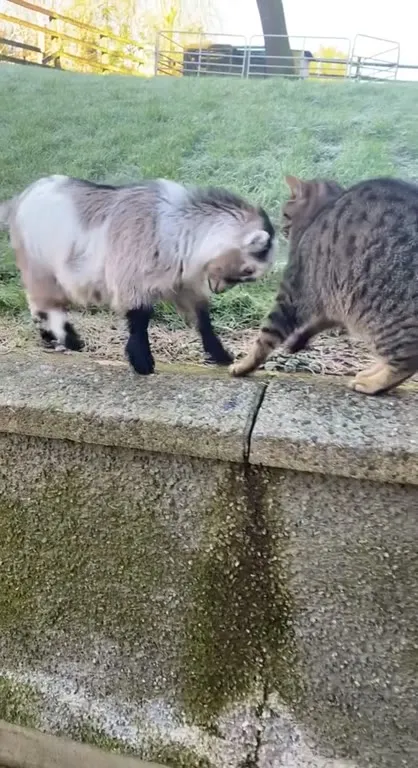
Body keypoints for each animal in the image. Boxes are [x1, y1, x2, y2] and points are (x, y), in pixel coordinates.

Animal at [0, 175, 276, 374]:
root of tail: (17, 201)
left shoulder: (182, 284)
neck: (179, 227)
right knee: (44, 303)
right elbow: (140, 318)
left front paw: (221, 355)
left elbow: (202, 319)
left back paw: (51, 337)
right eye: (248, 270)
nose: (219, 289)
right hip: (41, 267)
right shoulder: (132, 279)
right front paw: (143, 363)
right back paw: (68, 339)